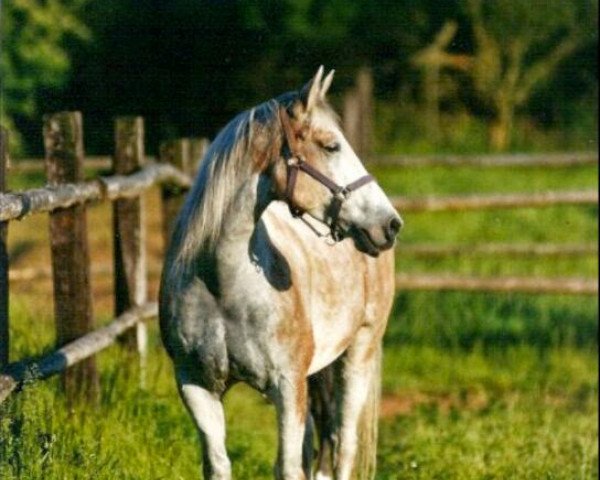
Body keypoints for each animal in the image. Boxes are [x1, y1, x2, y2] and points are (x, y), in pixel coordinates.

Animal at [161, 67, 404, 480]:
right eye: (331, 146)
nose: (389, 224)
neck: (221, 285)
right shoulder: (196, 386)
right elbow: (219, 464)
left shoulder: (287, 386)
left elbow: (288, 467)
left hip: (359, 354)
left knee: (344, 445)